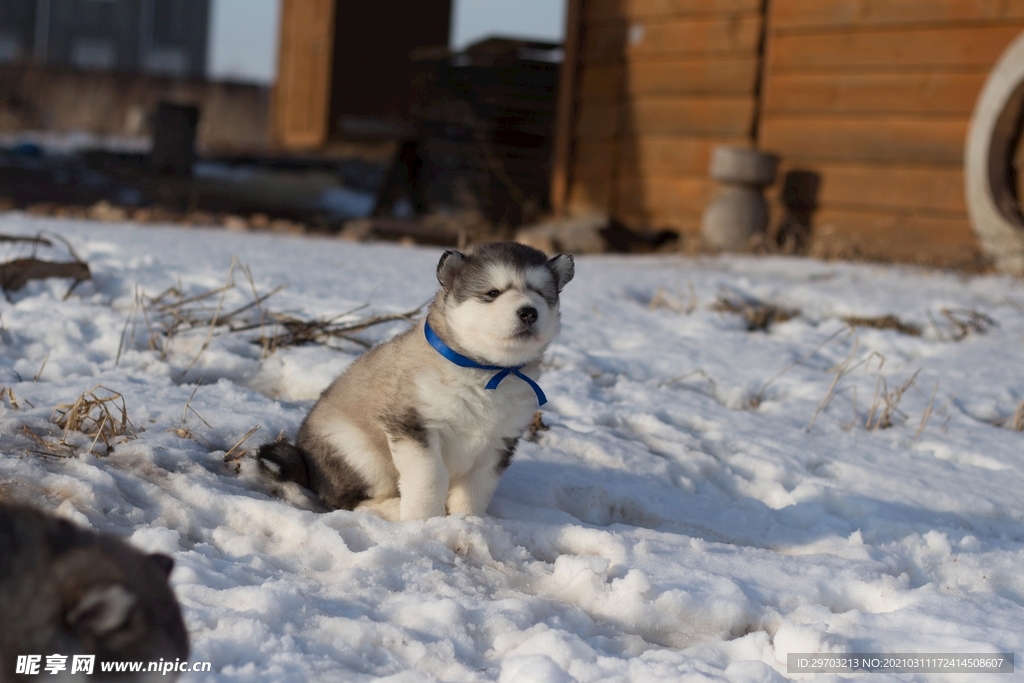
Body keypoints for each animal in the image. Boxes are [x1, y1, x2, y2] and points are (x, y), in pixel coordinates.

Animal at [260, 242, 573, 520]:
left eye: (541, 294)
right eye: (492, 293)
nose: (529, 312)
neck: (486, 370)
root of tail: (304, 458)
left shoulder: (499, 442)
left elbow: (476, 489)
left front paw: (468, 522)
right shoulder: (414, 427)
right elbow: (431, 479)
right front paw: (425, 523)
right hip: (358, 453)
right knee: (346, 500)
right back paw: (391, 509)